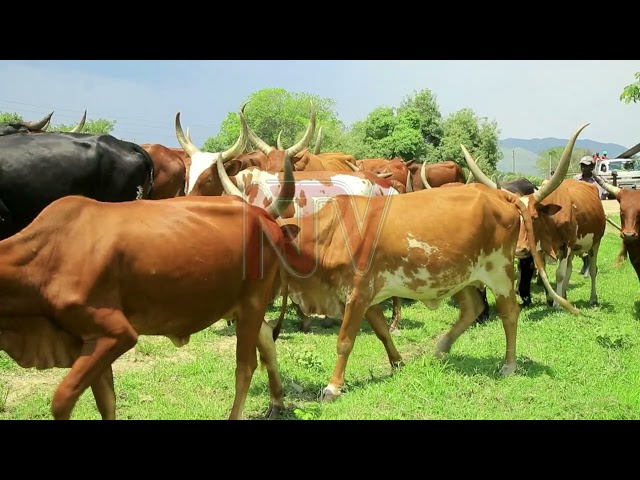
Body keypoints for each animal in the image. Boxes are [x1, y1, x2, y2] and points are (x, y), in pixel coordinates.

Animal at [266, 158, 580, 402]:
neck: (331, 232)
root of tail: (500, 196)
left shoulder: (357, 295)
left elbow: (345, 341)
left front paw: (333, 387)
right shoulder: (367, 296)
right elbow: (383, 330)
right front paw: (397, 363)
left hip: (500, 272)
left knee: (510, 313)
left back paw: (509, 364)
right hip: (461, 275)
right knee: (472, 309)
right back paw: (441, 348)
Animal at [460, 124, 604, 308]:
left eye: (534, 217)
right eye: (516, 218)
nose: (519, 249)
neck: (551, 222)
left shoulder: (567, 245)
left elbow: (560, 274)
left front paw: (556, 303)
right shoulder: (543, 248)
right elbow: (549, 273)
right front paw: (553, 298)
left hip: (595, 242)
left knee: (592, 269)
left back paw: (592, 298)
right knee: (571, 268)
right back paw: (564, 294)